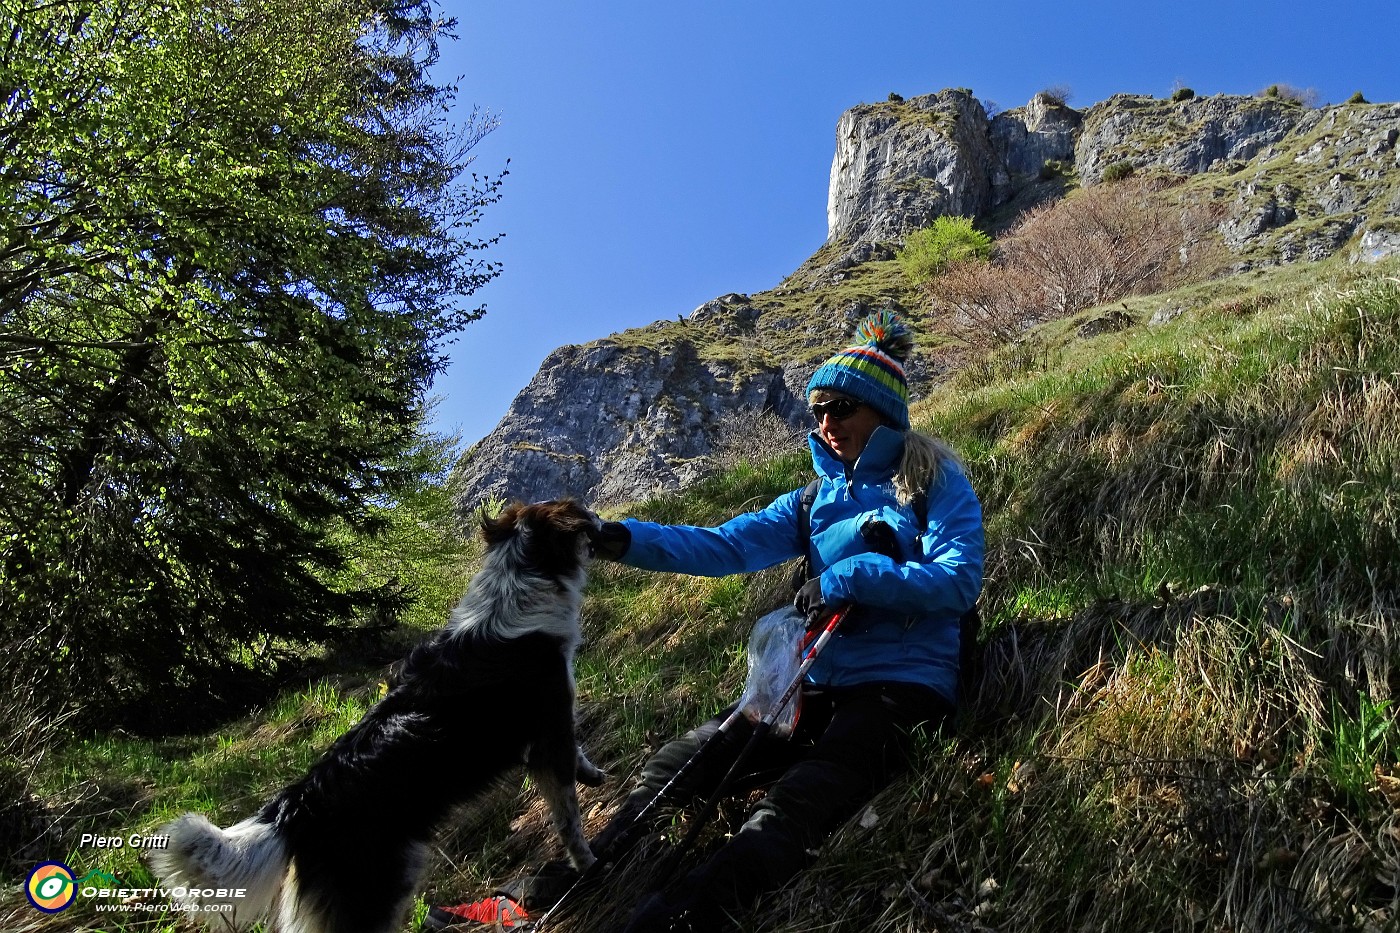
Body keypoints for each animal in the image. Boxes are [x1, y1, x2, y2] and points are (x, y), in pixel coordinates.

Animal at [151, 501, 607, 930]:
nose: (602, 523)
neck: (519, 585)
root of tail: (296, 805)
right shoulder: (550, 728)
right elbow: (569, 819)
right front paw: (589, 864)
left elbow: (578, 760)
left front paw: (592, 774)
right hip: (375, 891)